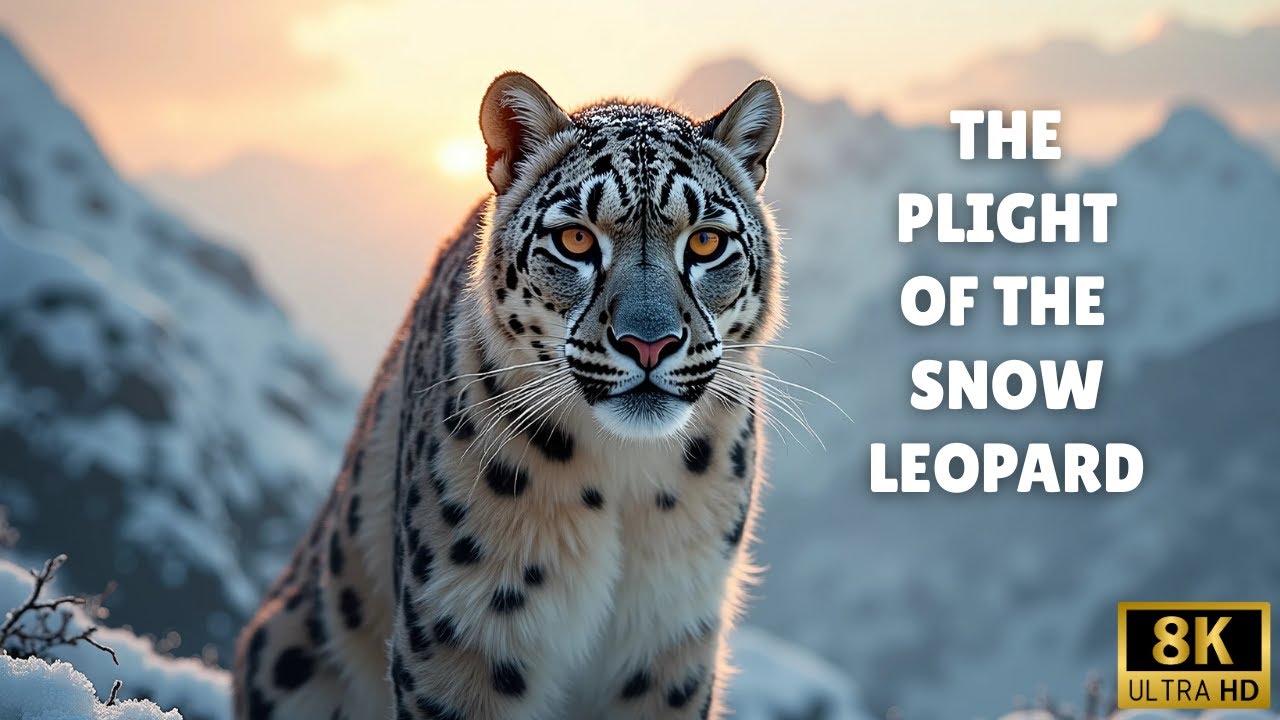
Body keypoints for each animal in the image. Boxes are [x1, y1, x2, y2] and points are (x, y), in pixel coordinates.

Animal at [232, 70, 785, 720]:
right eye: (575, 239)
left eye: (704, 243)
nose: (649, 344)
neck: (625, 484)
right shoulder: (463, 630)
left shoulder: (671, 640)